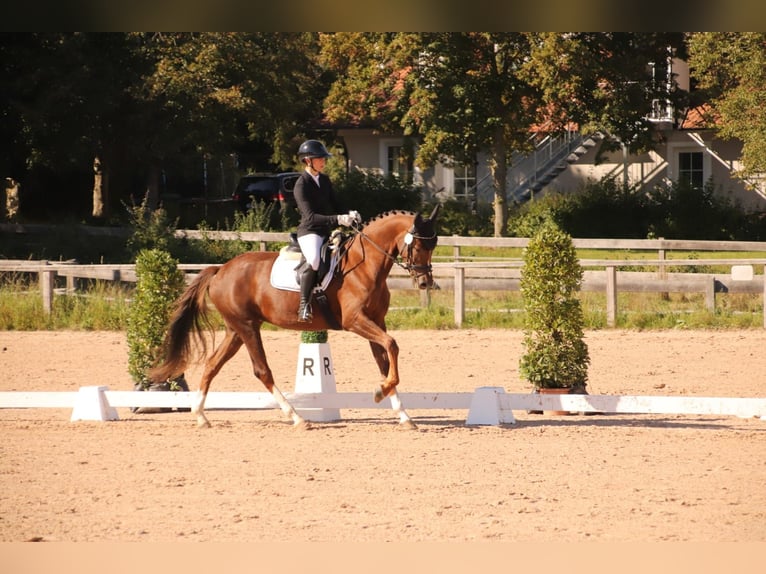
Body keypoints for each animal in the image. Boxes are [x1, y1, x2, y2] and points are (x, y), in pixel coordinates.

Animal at [148, 205, 441, 430]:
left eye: (434, 245)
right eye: (418, 245)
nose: (425, 283)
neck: (365, 265)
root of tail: (220, 270)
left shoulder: (376, 322)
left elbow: (385, 359)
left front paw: (402, 413)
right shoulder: (355, 321)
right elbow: (392, 345)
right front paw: (380, 391)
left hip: (236, 330)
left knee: (212, 364)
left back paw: (200, 416)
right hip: (247, 328)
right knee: (262, 371)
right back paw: (297, 418)